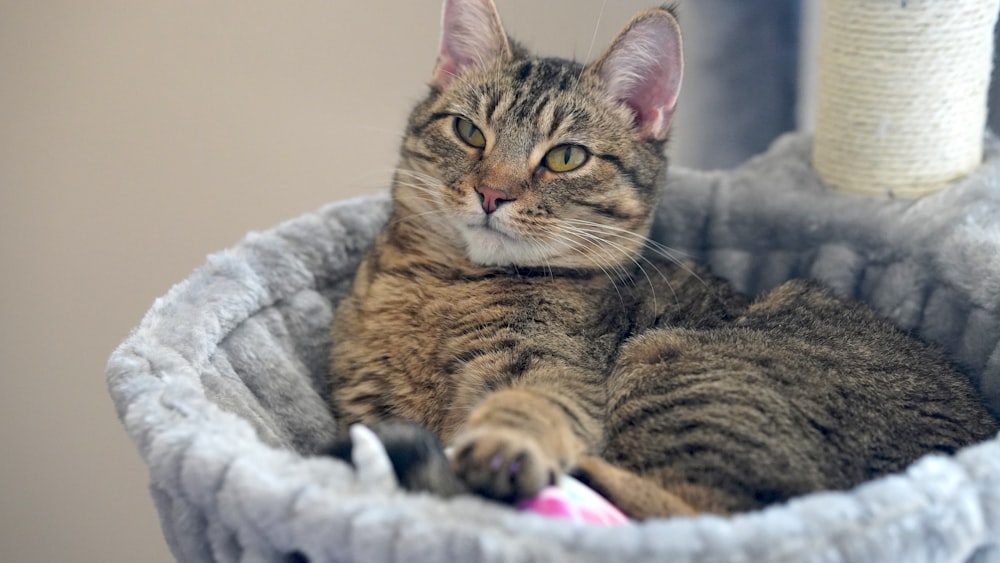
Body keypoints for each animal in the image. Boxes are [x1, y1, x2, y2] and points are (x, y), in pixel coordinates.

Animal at [324, 0, 996, 520]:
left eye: (565, 157)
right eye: (468, 132)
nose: (492, 193)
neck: (444, 285)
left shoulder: (556, 372)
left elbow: (531, 406)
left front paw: (500, 447)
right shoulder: (365, 401)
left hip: (672, 360)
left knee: (710, 515)